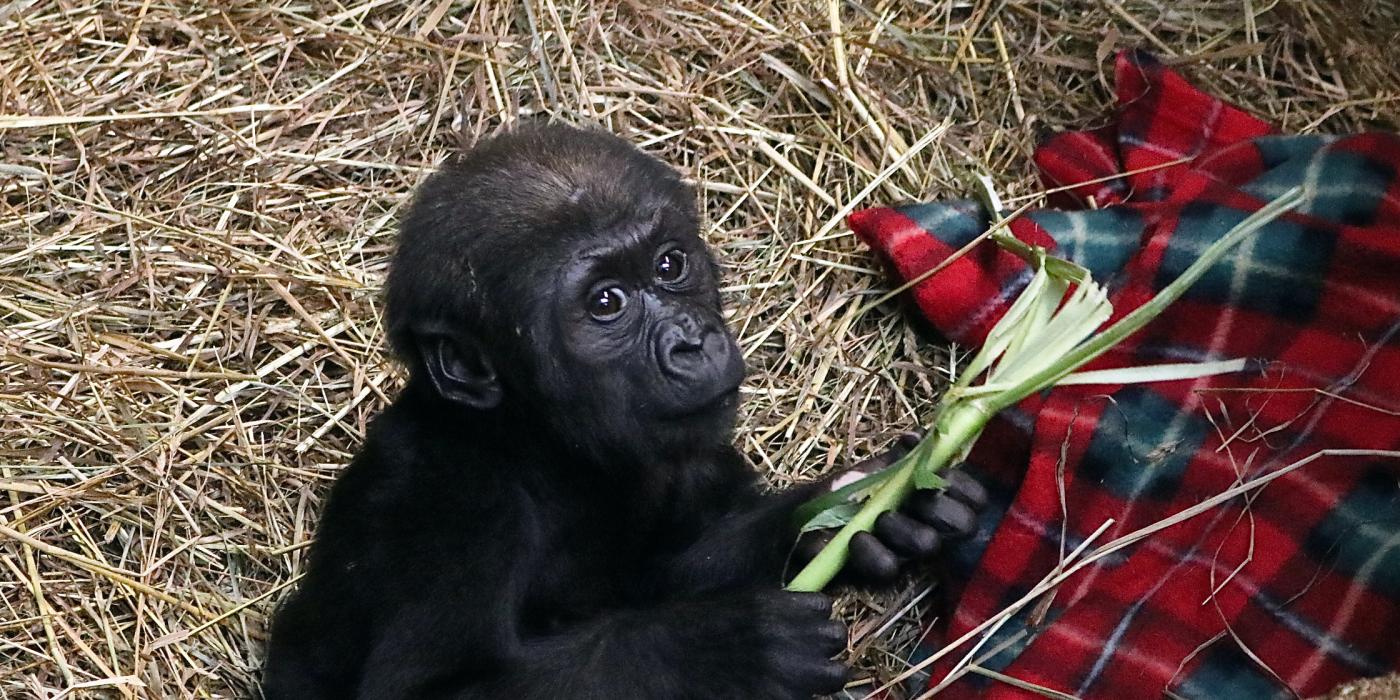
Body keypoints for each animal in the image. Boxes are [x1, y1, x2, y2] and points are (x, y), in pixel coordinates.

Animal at [263, 124, 985, 700]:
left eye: (671, 264)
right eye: (606, 303)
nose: (692, 341)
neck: (532, 442)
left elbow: (669, 570)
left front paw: (865, 511)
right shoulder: (449, 499)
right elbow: (429, 690)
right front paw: (719, 651)